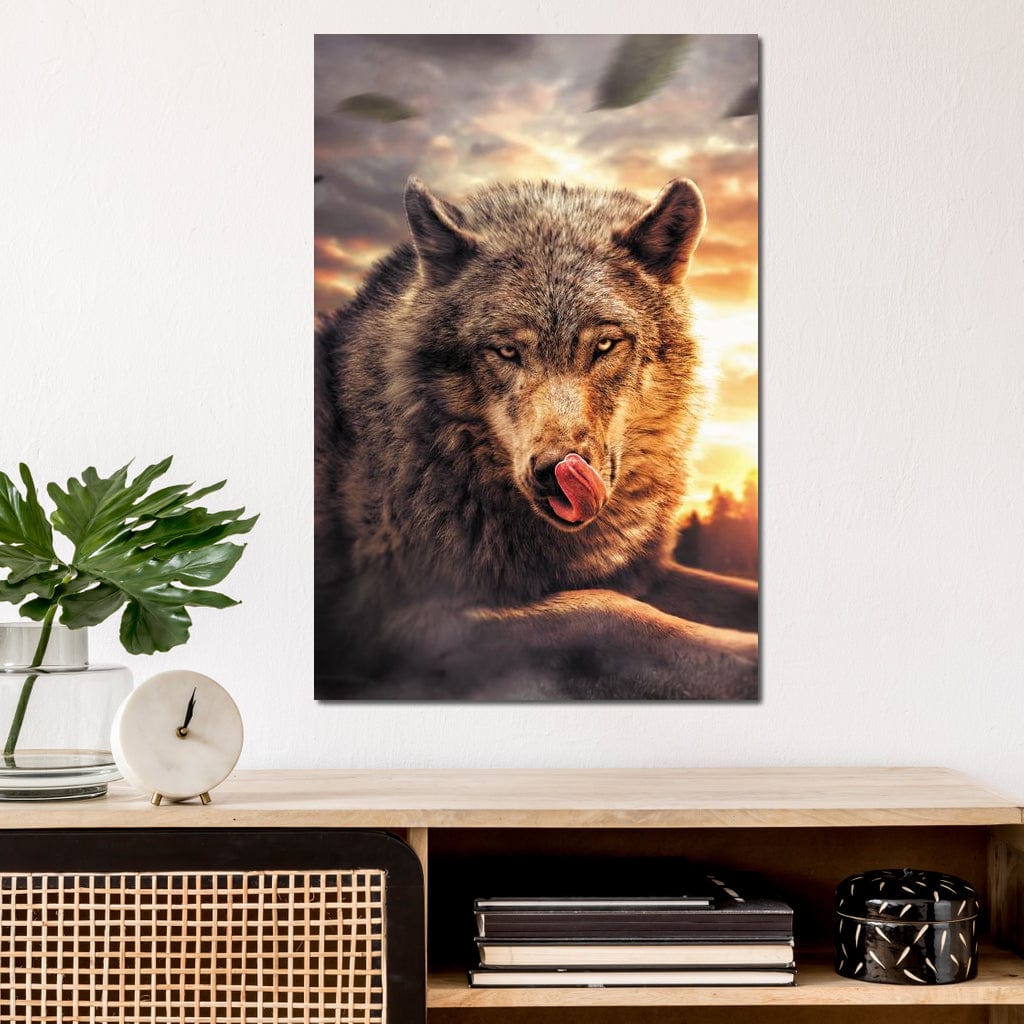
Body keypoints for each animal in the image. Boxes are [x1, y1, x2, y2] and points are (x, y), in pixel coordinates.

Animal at [315, 175, 758, 700]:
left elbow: (738, 593)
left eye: (604, 344)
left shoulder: (643, 573)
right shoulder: (404, 624)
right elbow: (606, 614)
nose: (555, 472)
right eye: (507, 351)